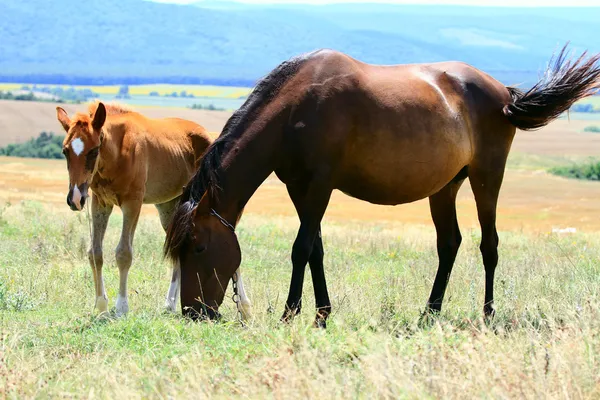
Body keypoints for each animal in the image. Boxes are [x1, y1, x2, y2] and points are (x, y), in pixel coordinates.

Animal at [56, 101, 251, 318]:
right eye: (65, 151)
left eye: (94, 150)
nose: (75, 199)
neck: (119, 152)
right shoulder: (100, 202)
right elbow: (95, 252)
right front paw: (101, 306)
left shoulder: (133, 202)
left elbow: (124, 253)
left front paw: (121, 307)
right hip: (169, 207)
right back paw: (169, 304)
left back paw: (244, 307)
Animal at [164, 47, 600, 326]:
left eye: (199, 248)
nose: (193, 313)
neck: (294, 110)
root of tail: (503, 93)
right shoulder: (299, 188)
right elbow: (316, 250)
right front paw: (322, 315)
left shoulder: (320, 185)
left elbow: (300, 248)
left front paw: (291, 313)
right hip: (445, 187)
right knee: (449, 244)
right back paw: (430, 313)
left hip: (486, 176)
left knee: (488, 244)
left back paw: (488, 314)